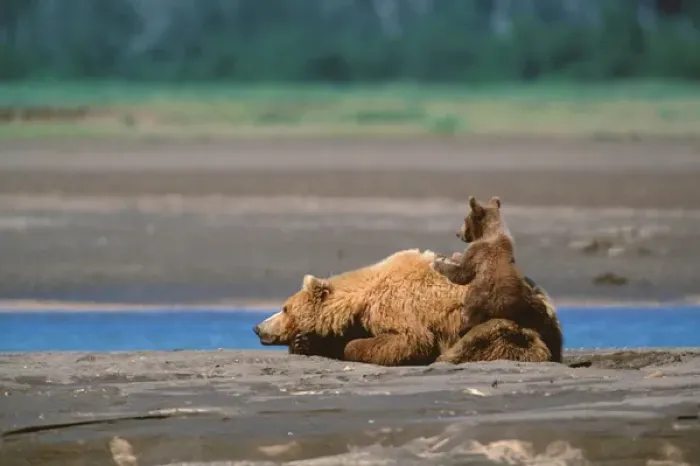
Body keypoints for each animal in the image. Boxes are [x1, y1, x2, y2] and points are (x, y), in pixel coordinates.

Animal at [253, 248, 557, 366]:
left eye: (284, 308)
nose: (257, 328)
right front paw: (305, 342)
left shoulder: (397, 306)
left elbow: (410, 341)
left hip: (508, 324)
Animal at [431, 196, 564, 363]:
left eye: (464, 219)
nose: (457, 233)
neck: (491, 232)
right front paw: (451, 256)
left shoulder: (480, 253)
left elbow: (461, 273)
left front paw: (437, 260)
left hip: (484, 303)